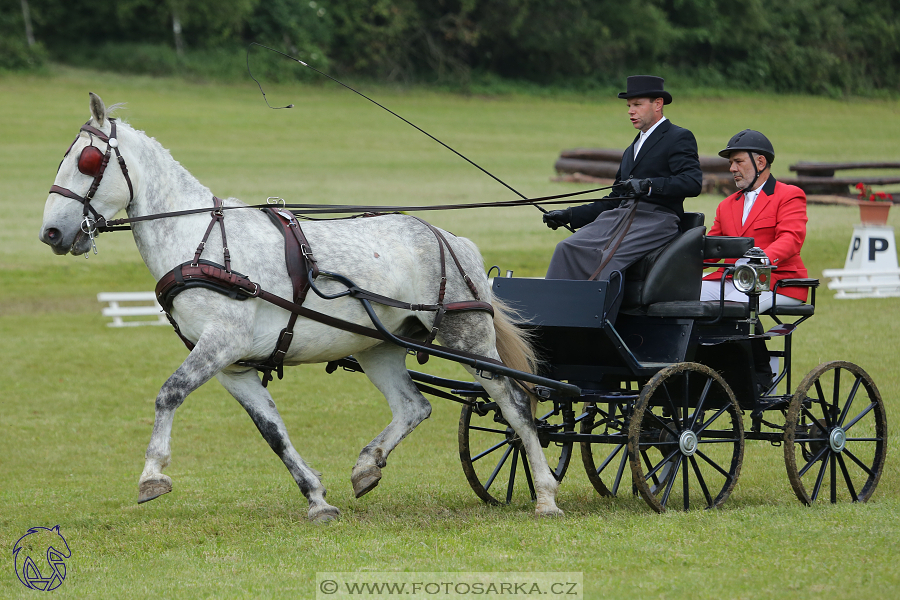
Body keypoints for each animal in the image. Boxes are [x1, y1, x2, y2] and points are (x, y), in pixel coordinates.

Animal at [42, 92, 564, 520]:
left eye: (87, 160)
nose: (51, 232)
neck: (199, 239)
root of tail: (448, 237)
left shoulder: (220, 342)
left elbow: (168, 393)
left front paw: (152, 476)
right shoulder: (233, 366)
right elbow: (273, 432)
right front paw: (316, 498)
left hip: (468, 338)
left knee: (516, 407)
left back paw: (544, 495)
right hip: (378, 347)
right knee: (413, 406)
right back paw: (367, 466)